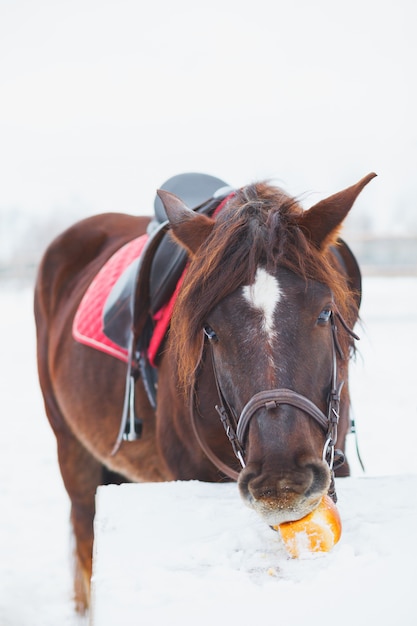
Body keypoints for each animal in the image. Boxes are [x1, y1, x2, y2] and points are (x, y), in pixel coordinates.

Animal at [34, 171, 376, 608]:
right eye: (210, 330)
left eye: (324, 313)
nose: (282, 483)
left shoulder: (337, 461)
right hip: (73, 451)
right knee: (84, 541)